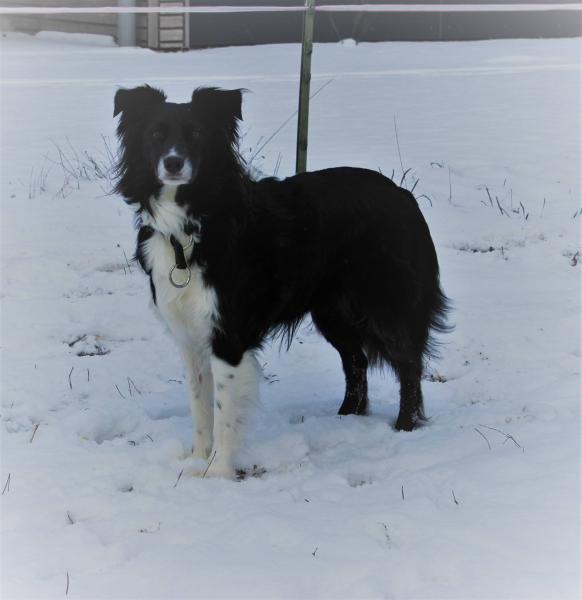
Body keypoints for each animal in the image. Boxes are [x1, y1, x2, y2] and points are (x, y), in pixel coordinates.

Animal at [113, 85, 449, 478]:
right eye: (155, 135)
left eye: (195, 134)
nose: (173, 163)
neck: (190, 223)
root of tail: (404, 196)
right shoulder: (190, 336)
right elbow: (200, 406)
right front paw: (196, 458)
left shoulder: (228, 336)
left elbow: (223, 413)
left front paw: (216, 473)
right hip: (334, 311)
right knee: (357, 360)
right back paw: (346, 418)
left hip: (385, 301)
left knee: (408, 362)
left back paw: (404, 427)